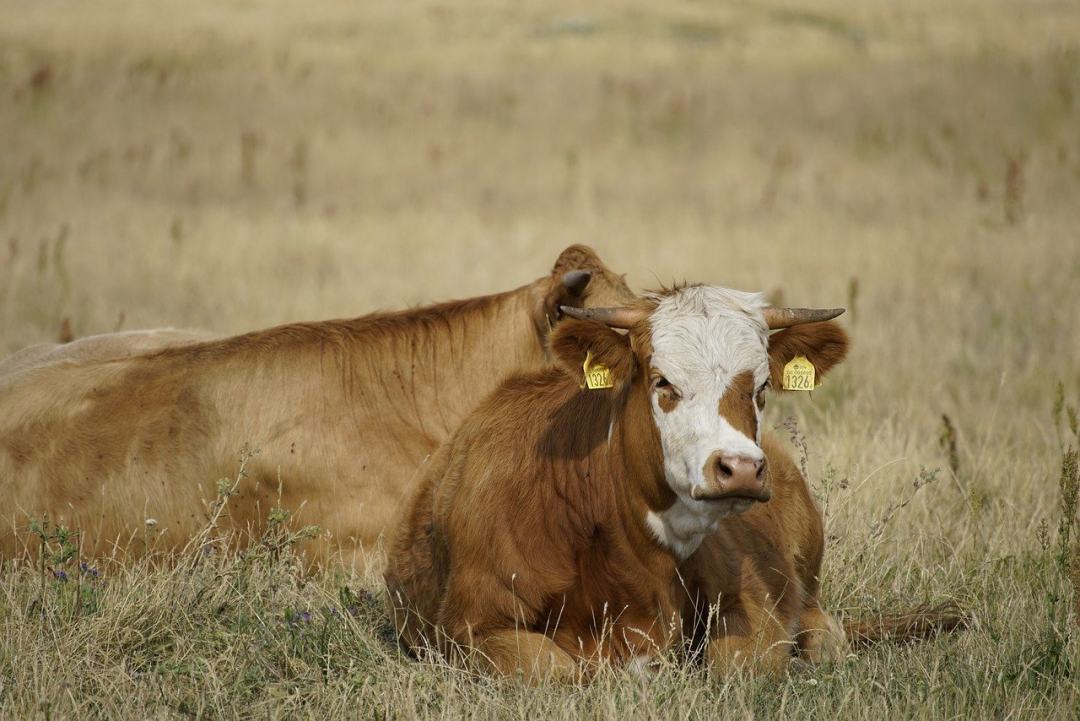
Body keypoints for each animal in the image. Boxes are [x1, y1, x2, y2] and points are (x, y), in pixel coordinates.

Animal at [384, 284, 855, 677]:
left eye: (760, 388)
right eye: (663, 382)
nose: (740, 468)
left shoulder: (753, 603)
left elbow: (737, 663)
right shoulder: (470, 627)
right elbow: (556, 670)